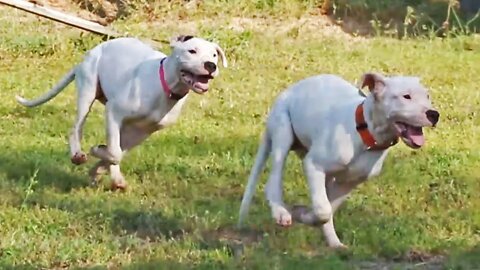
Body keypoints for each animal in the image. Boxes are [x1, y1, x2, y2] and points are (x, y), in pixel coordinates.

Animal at [13, 35, 227, 191]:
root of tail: (95, 50)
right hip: (87, 92)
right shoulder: (114, 113)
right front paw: (97, 152)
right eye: (192, 51)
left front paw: (99, 169)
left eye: (214, 55)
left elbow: (117, 153)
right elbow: (114, 152)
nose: (211, 65)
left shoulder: (142, 131)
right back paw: (77, 154)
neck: (164, 86)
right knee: (76, 129)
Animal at [237, 72, 438, 249]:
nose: (434, 114)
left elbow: (328, 208)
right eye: (406, 96)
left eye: (427, 96)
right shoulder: (314, 165)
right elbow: (324, 210)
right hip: (283, 130)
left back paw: (334, 243)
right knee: (274, 178)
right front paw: (302, 214)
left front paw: (307, 216)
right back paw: (281, 212)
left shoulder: (348, 182)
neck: (364, 132)